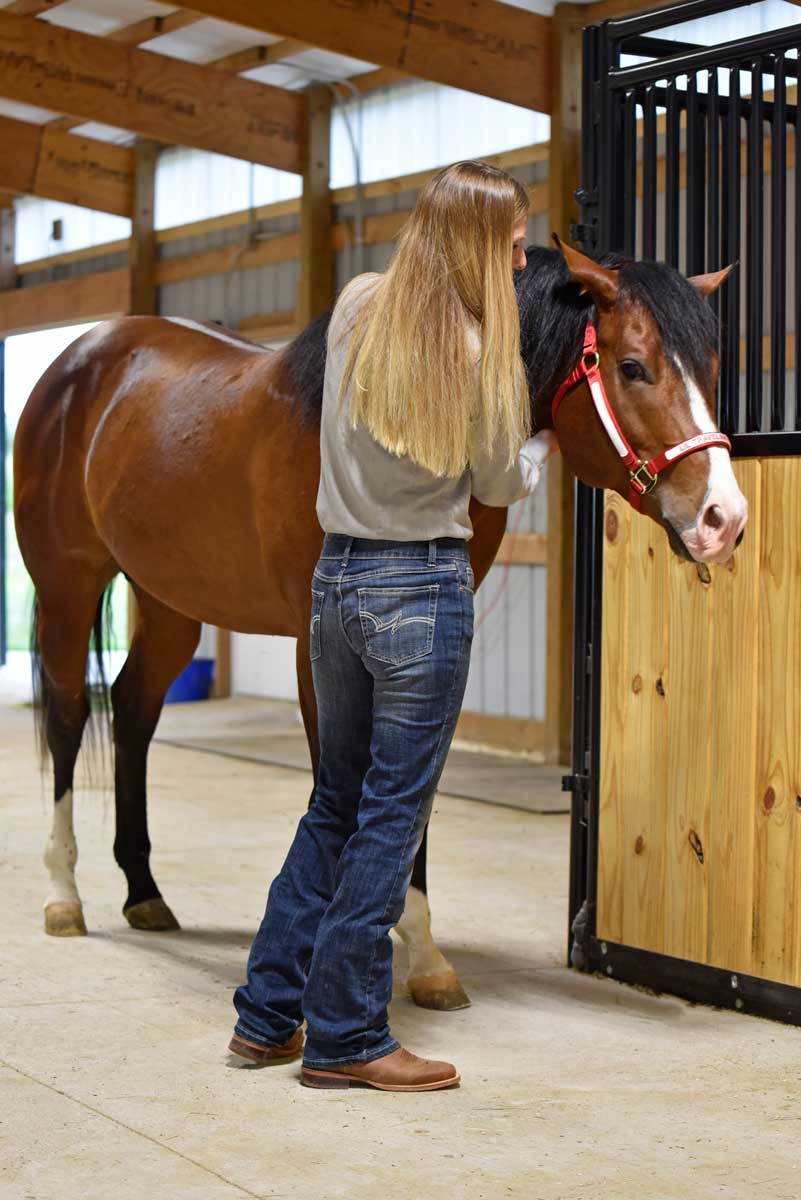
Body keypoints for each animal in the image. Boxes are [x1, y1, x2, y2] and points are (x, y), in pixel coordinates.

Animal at [12, 241, 748, 1012]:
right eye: (632, 366)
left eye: (710, 367)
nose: (722, 520)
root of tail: (83, 356)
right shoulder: (319, 648)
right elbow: (341, 780)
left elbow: (409, 787)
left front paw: (421, 956)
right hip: (67, 588)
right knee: (68, 716)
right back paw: (64, 895)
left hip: (169, 603)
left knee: (133, 711)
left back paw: (144, 893)